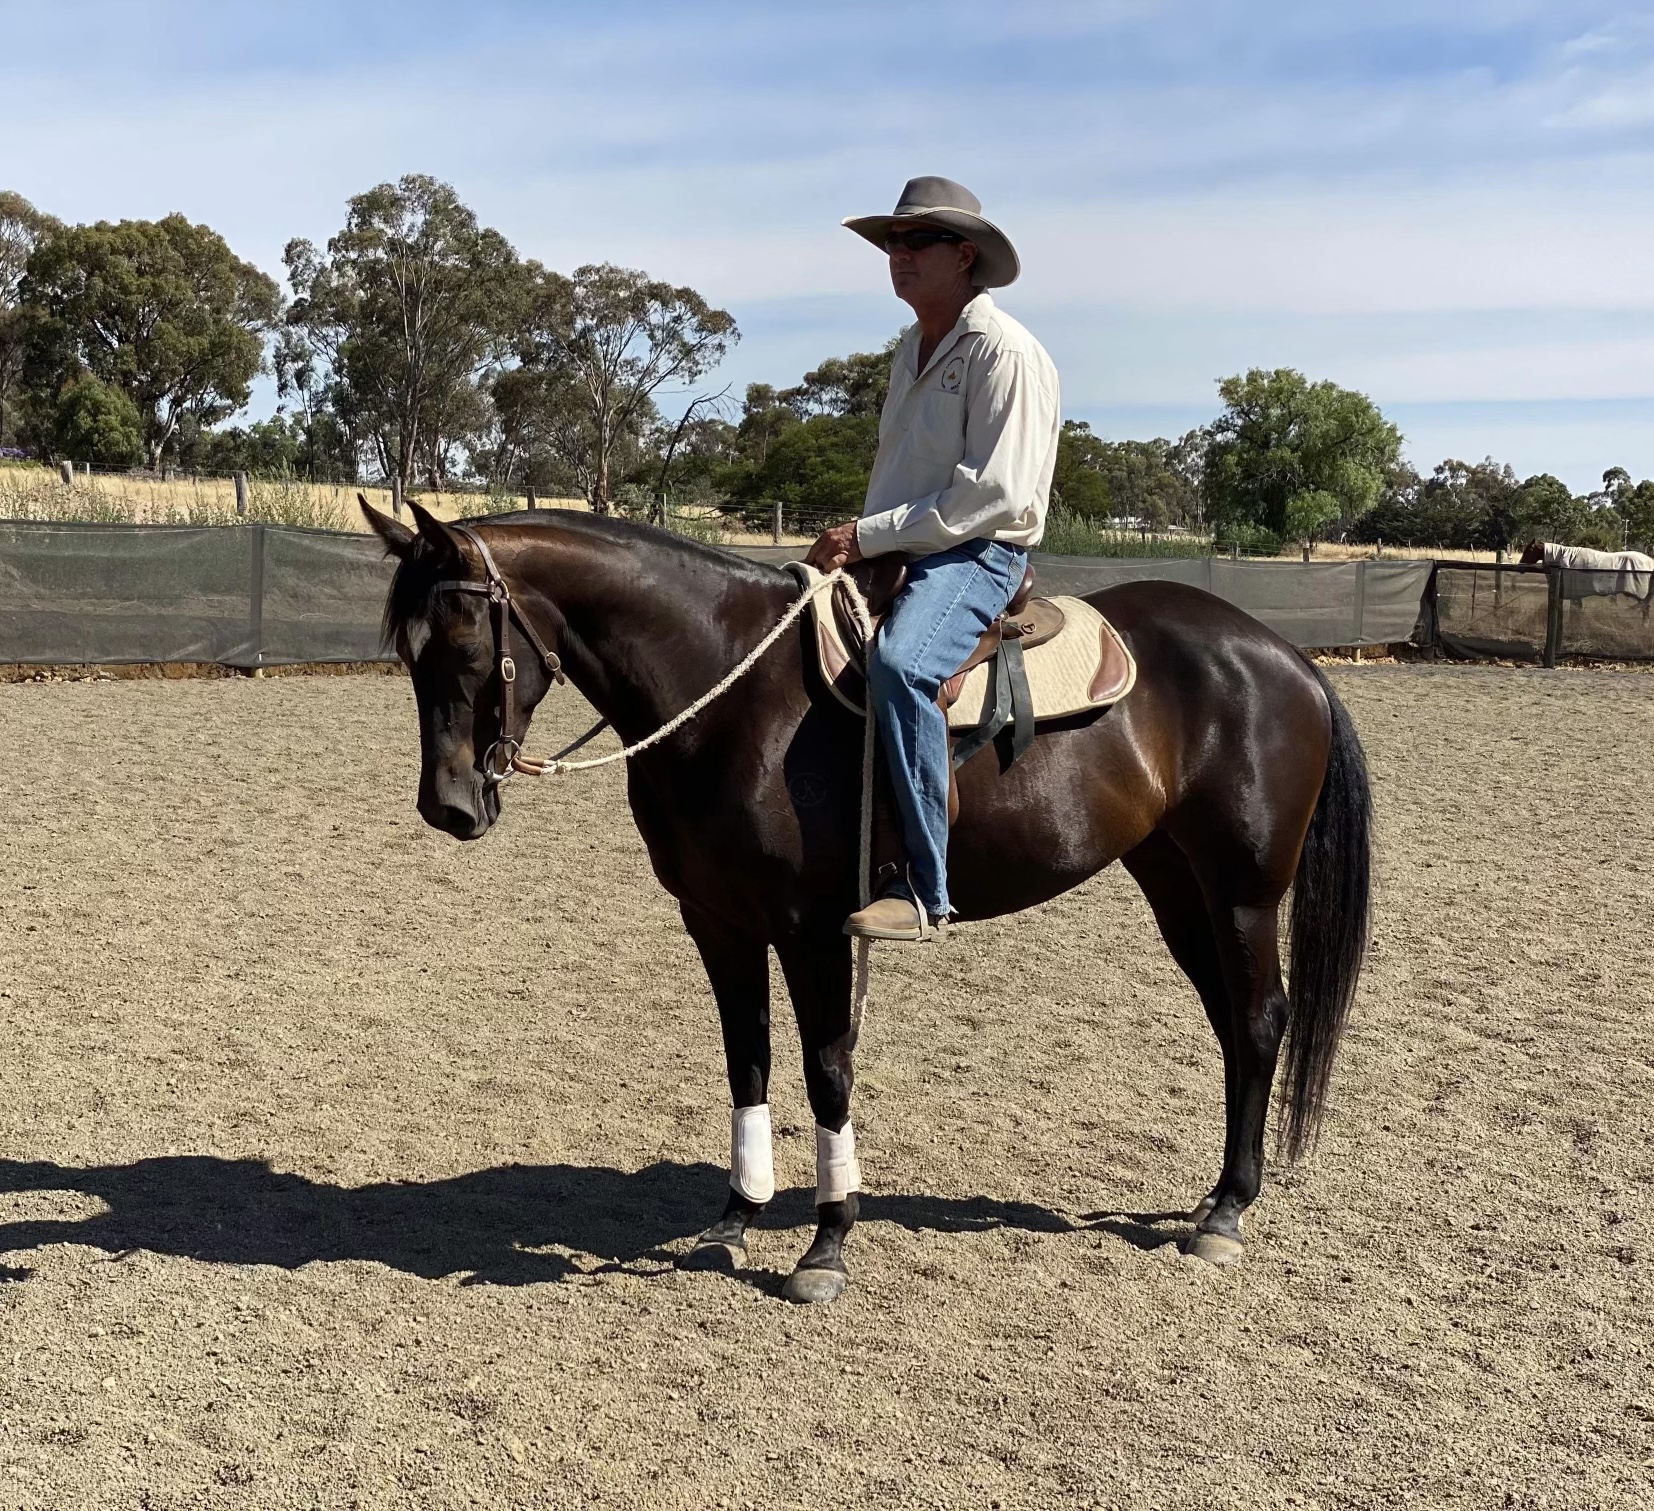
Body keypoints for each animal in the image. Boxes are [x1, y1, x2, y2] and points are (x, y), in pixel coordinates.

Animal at [360, 498, 1372, 1304]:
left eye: (465, 647)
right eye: (406, 654)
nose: (448, 807)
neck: (729, 689)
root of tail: (1283, 654)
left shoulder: (811, 929)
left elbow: (827, 1069)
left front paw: (827, 1239)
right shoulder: (717, 920)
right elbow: (749, 1060)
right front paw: (735, 1216)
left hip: (1243, 892)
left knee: (1259, 1018)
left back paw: (1228, 1212)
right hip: (1173, 881)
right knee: (1232, 1022)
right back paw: (1216, 1194)